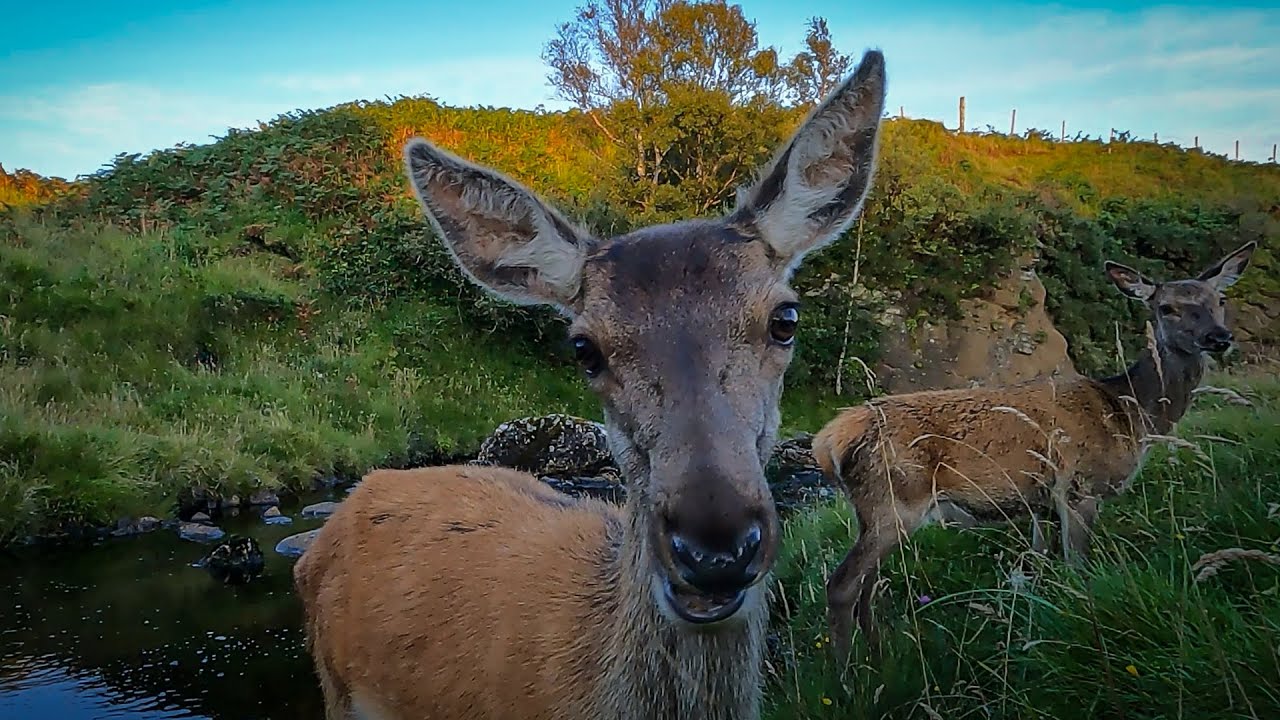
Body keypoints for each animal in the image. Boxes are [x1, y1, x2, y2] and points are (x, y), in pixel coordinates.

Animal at [812, 241, 1257, 657]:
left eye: (1219, 301)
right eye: (1167, 307)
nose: (1219, 338)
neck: (1130, 413)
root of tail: (828, 438)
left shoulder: (1041, 504)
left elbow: (1041, 565)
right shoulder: (1079, 487)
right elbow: (1078, 568)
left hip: (875, 511)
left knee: (868, 585)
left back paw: (879, 653)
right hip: (893, 500)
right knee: (842, 585)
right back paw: (849, 675)